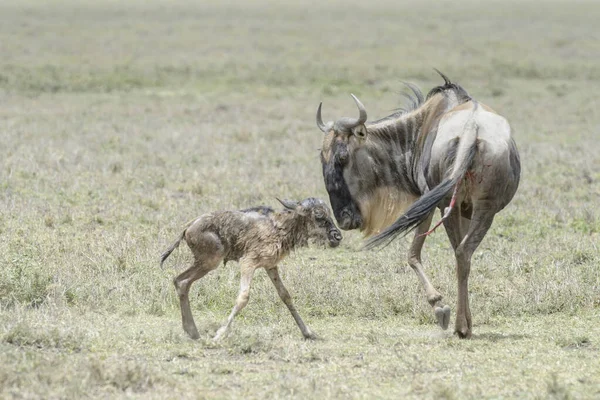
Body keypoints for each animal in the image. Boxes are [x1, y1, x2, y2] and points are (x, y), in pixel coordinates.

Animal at [159, 197, 342, 340]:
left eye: (329, 213)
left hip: (204, 263)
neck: (279, 227)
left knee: (180, 281)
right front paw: (220, 334)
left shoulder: (271, 266)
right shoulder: (248, 262)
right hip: (210, 262)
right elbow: (243, 297)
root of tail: (188, 227)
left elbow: (285, 296)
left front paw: (308, 333)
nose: (337, 236)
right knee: (182, 281)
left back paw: (193, 332)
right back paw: (194, 332)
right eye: (318, 215)